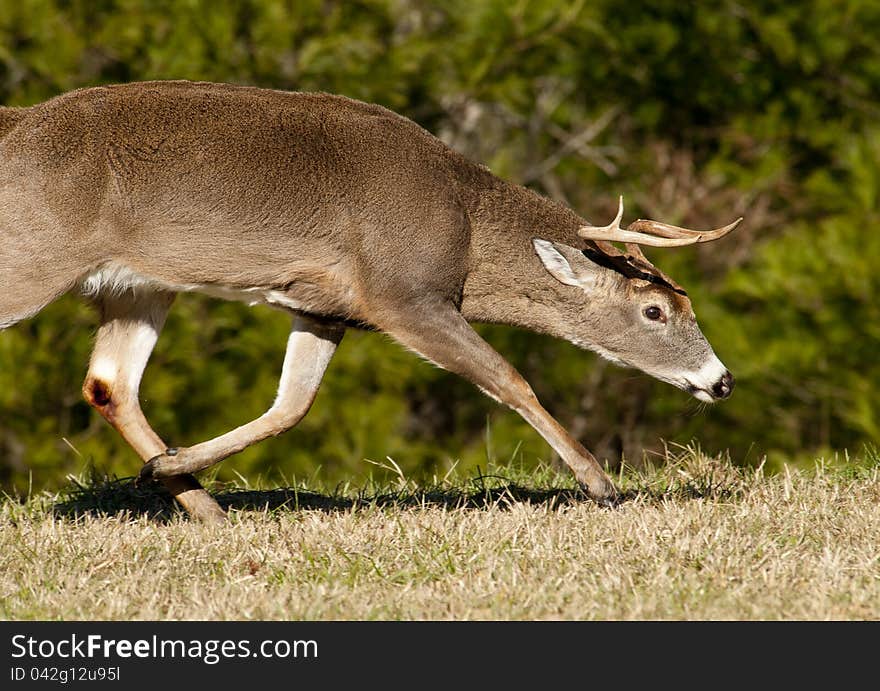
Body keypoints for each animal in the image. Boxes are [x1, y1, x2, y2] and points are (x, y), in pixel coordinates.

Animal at [0, 81, 740, 520]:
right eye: (654, 310)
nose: (721, 380)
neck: (464, 226)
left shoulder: (324, 306)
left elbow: (292, 405)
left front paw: (164, 469)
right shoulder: (403, 292)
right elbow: (511, 378)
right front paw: (600, 485)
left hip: (138, 284)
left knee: (109, 384)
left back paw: (200, 505)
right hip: (34, 255)